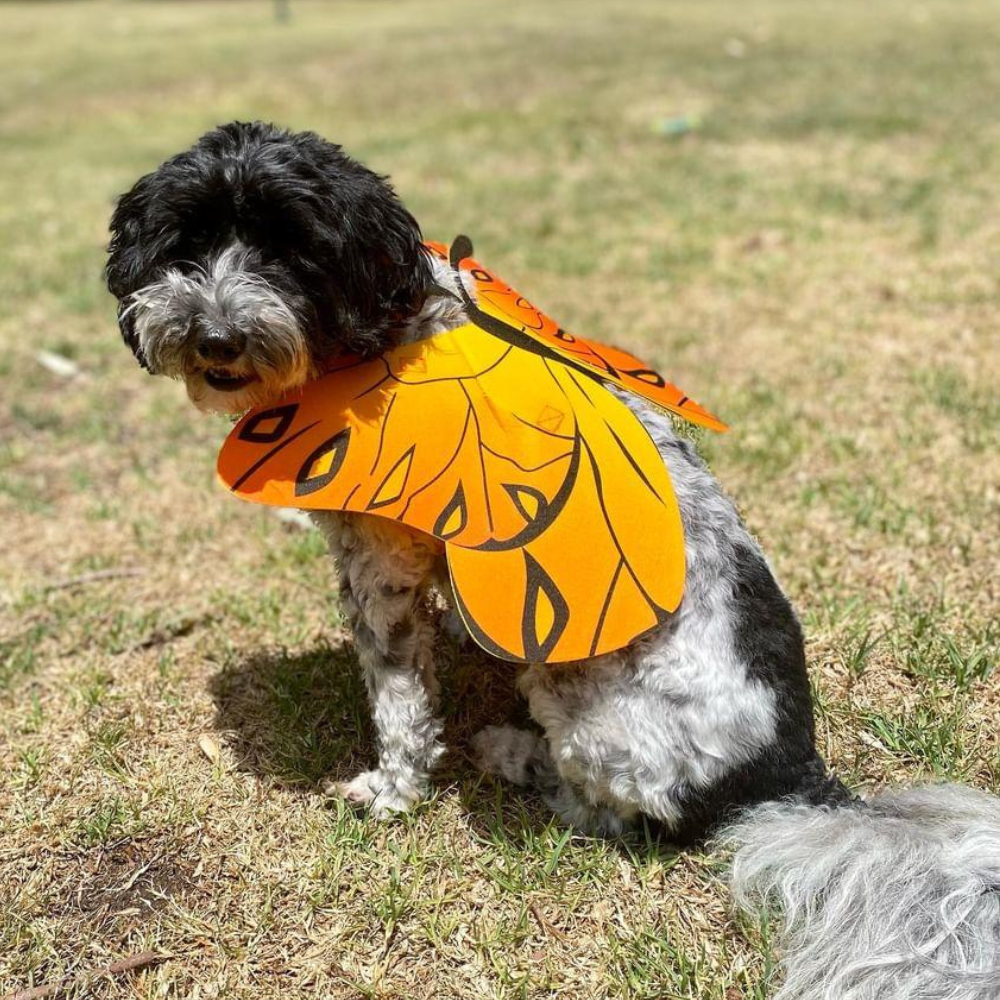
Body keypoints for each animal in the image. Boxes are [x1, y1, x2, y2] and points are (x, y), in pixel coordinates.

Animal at [105, 121, 996, 996]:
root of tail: (793, 774)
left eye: (292, 250)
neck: (390, 324)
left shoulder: (379, 566)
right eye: (187, 241)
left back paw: (513, 757)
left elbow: (398, 700)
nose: (215, 337)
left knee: (614, 816)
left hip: (586, 708)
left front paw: (391, 790)